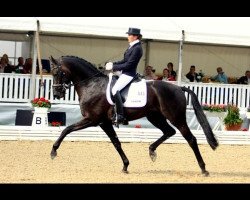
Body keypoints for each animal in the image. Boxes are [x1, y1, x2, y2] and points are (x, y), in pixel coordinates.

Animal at [49, 55, 218, 176]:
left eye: (57, 73)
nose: (57, 94)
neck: (91, 84)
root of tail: (178, 88)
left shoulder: (92, 119)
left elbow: (66, 130)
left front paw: (53, 151)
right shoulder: (105, 123)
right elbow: (116, 143)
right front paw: (125, 165)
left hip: (176, 117)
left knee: (191, 139)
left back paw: (203, 169)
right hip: (155, 117)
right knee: (169, 131)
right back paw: (152, 151)